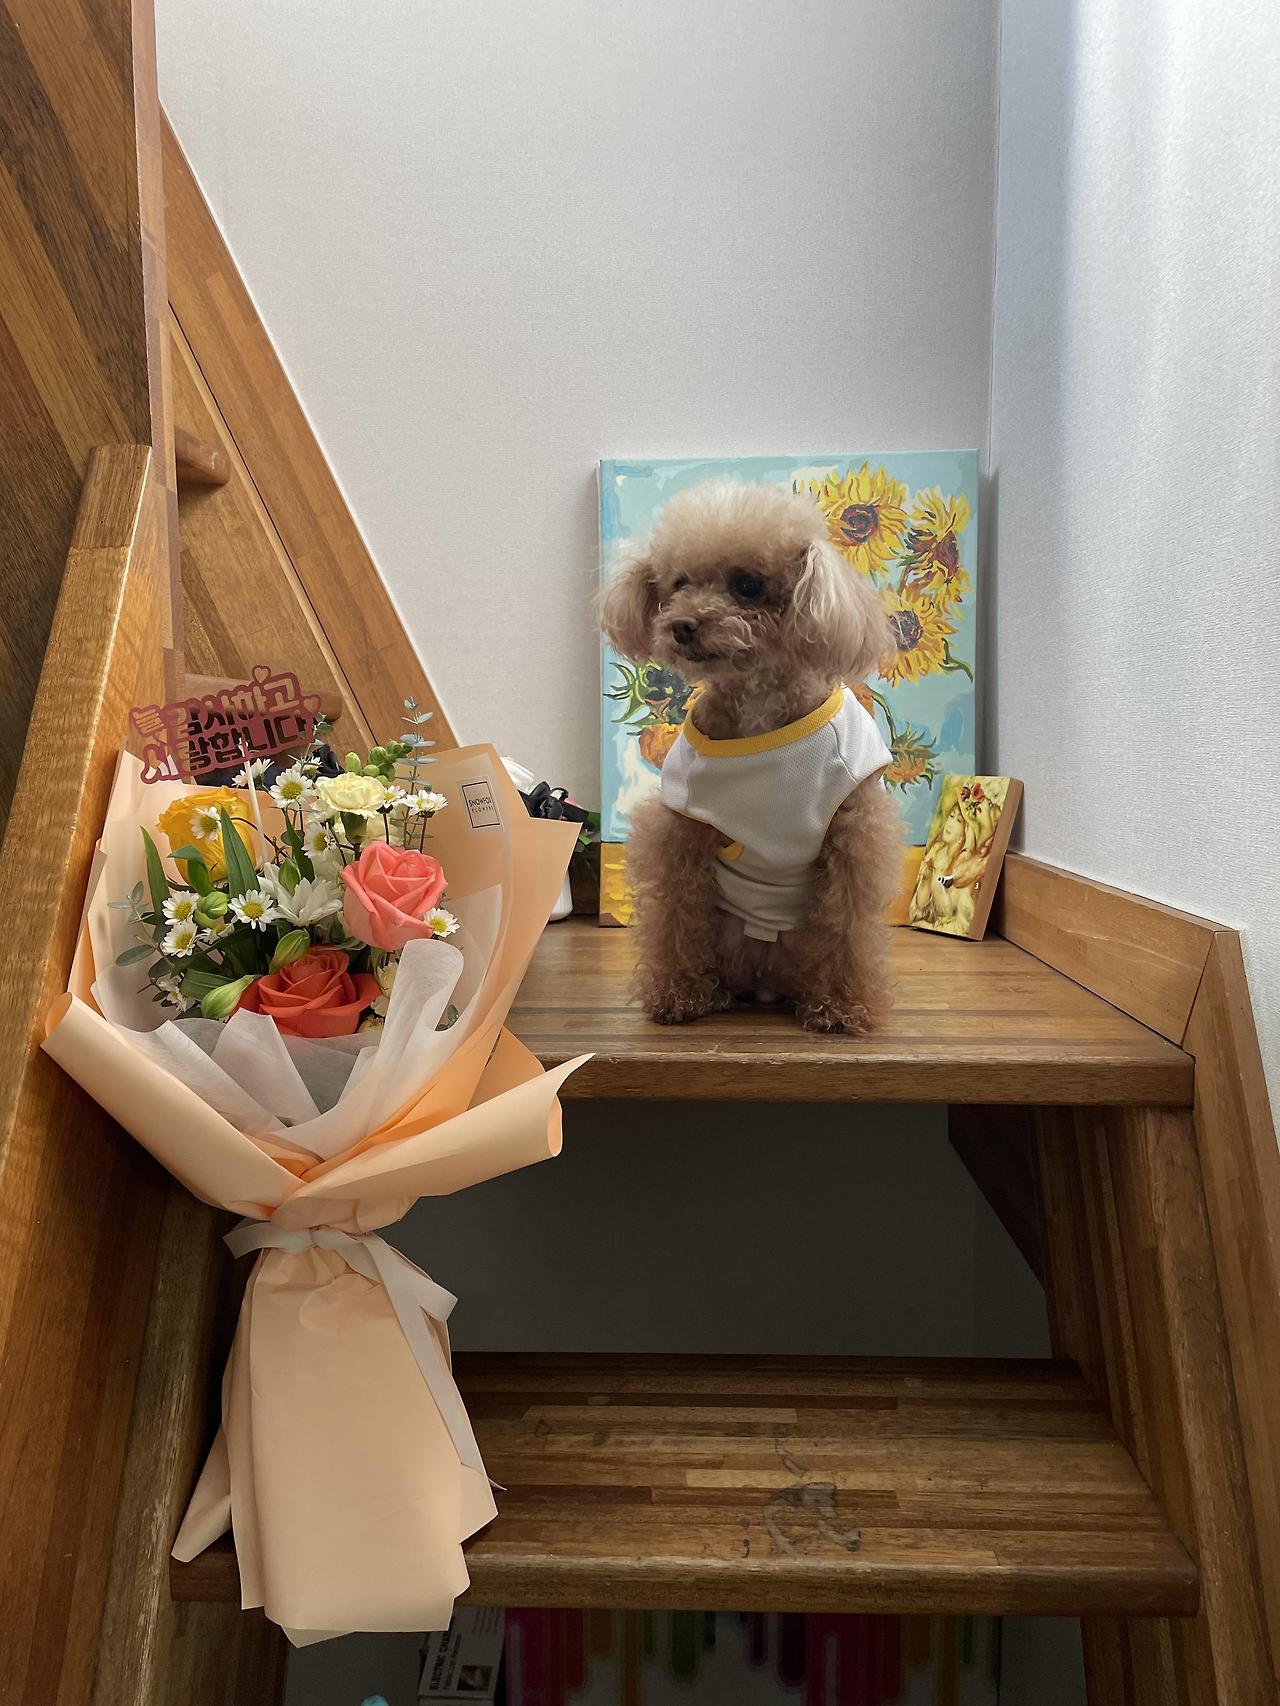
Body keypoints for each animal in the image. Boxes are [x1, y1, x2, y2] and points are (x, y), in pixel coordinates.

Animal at [601, 480, 902, 1033]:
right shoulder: (679, 827)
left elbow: (846, 926)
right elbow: (675, 913)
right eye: (678, 583)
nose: (682, 625)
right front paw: (677, 995)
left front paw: (840, 1008)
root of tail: (763, 979)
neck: (760, 711)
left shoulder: (854, 828)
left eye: (747, 584)